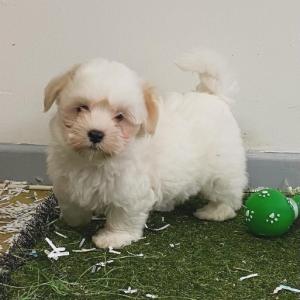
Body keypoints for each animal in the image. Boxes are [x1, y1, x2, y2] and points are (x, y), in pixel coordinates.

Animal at [44, 50, 246, 250]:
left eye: (120, 116)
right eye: (82, 107)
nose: (95, 134)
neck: (92, 161)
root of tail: (215, 96)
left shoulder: (130, 190)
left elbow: (123, 215)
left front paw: (114, 237)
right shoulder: (66, 182)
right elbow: (72, 207)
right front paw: (75, 221)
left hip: (222, 168)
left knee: (228, 192)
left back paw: (217, 211)